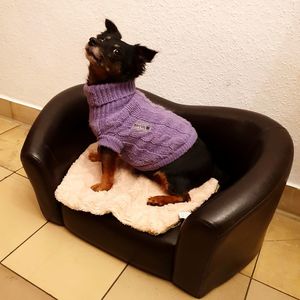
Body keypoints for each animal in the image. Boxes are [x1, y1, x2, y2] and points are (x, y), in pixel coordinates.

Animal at [85, 19, 214, 206]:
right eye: (101, 38)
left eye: (116, 52)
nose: (92, 40)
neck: (113, 96)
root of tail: (210, 169)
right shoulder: (108, 143)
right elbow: (104, 155)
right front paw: (97, 156)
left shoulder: (111, 140)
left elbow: (107, 171)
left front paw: (102, 187)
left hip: (171, 175)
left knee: (185, 198)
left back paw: (157, 199)